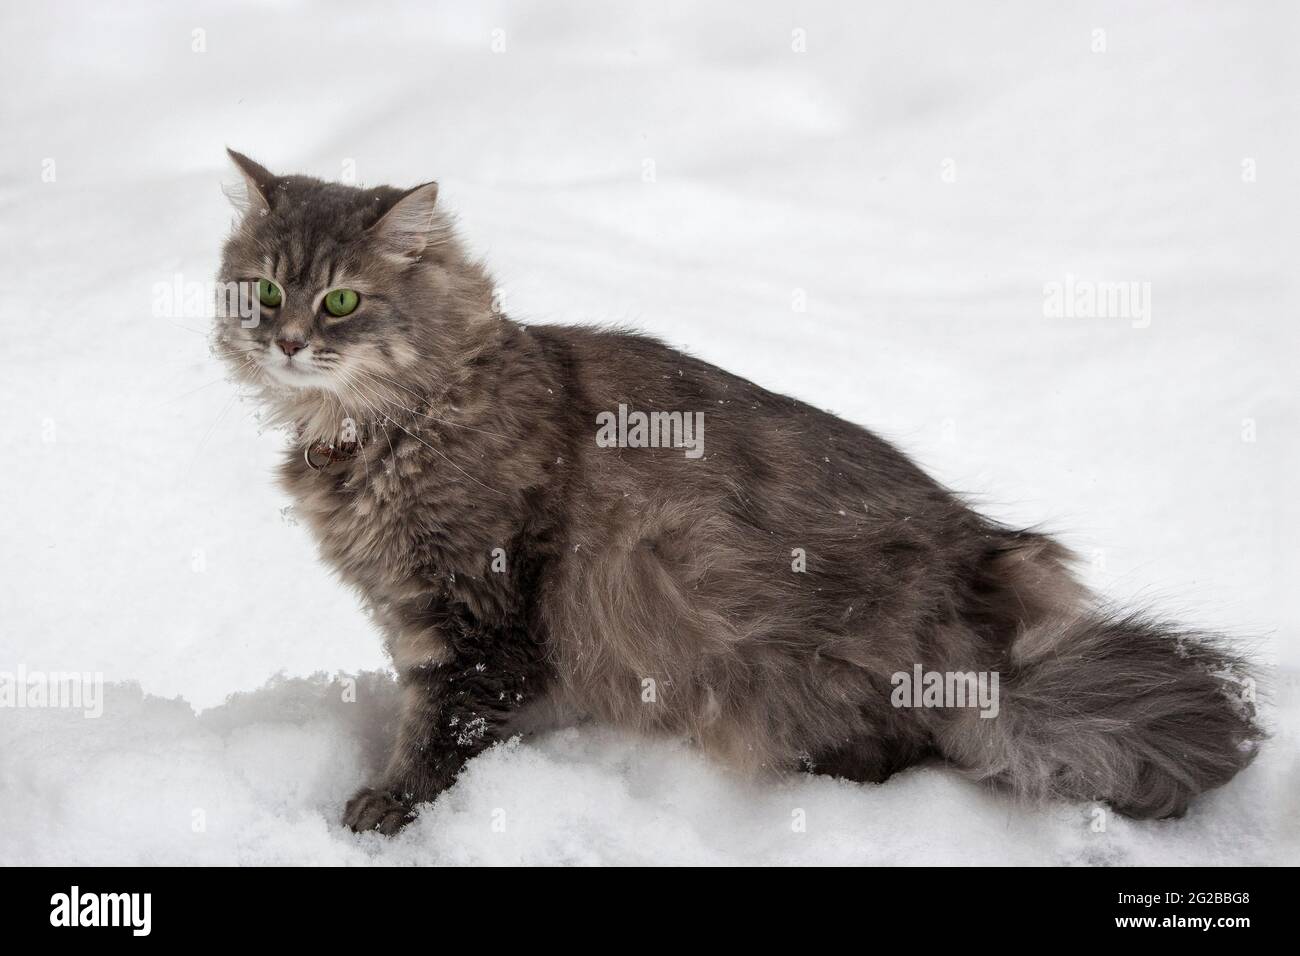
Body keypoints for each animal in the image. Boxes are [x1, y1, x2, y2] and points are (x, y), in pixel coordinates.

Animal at [213, 151, 1258, 837]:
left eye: (341, 301)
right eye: (262, 289)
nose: (287, 341)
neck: (390, 427)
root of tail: (985, 612)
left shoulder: (478, 613)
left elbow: (441, 731)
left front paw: (389, 809)